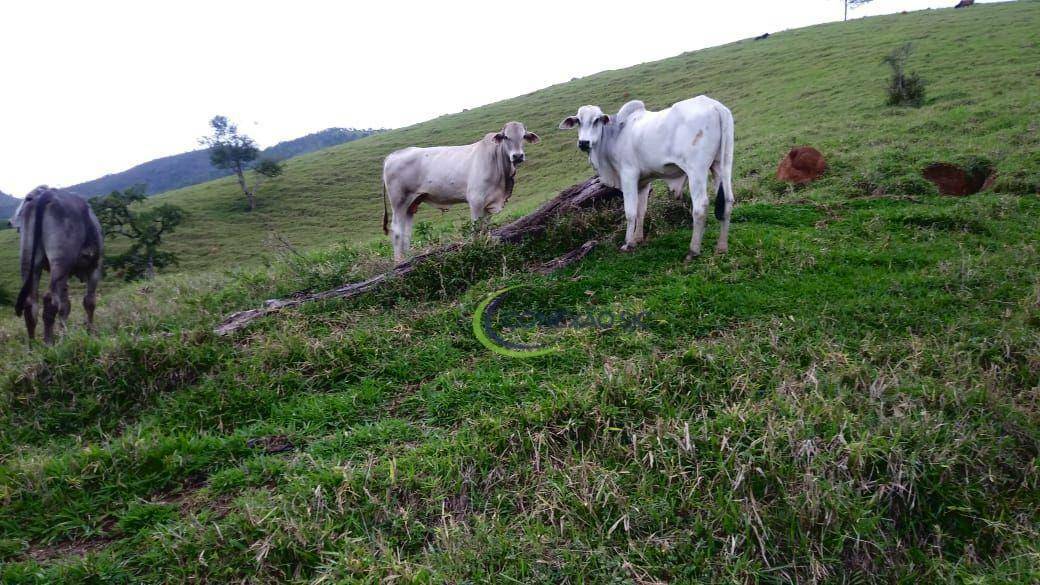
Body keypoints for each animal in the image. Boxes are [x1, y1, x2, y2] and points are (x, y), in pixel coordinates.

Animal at [11, 185, 102, 341]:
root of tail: (45, 193)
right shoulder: (95, 267)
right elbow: (89, 301)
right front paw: (90, 332)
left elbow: (66, 306)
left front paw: (65, 334)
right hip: (61, 261)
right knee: (50, 301)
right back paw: (49, 343)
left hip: (28, 258)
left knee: (31, 304)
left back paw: (32, 345)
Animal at [384, 120, 544, 259]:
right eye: (506, 137)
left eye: (523, 136)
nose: (517, 156)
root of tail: (392, 156)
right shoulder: (476, 199)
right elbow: (476, 228)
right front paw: (477, 247)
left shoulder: (489, 203)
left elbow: (485, 227)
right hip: (399, 201)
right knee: (397, 230)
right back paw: (398, 261)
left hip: (412, 203)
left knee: (406, 232)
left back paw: (407, 258)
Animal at [557, 96, 736, 258]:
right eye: (578, 121)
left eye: (596, 120)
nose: (584, 143)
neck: (615, 135)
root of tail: (714, 105)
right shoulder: (643, 182)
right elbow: (641, 211)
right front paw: (637, 239)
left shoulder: (628, 175)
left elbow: (630, 212)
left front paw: (627, 243)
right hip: (721, 165)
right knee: (728, 200)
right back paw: (722, 247)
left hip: (696, 170)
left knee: (700, 207)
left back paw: (693, 251)